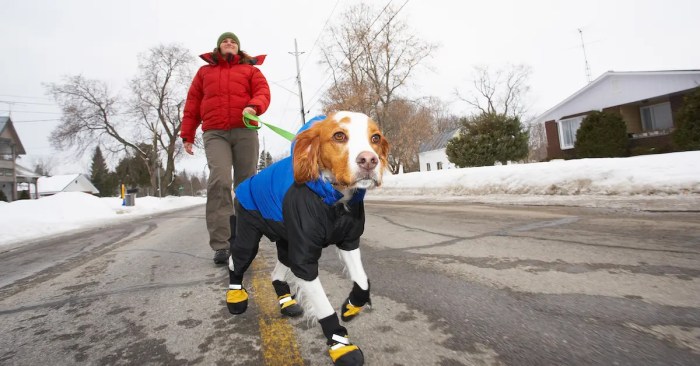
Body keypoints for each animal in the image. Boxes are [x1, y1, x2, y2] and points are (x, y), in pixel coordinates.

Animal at [227, 112, 388, 366]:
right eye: (339, 136)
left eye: (375, 138)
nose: (369, 160)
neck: (334, 200)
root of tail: (244, 184)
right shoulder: (304, 261)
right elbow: (324, 308)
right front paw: (342, 346)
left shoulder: (349, 241)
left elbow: (362, 281)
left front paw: (351, 306)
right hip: (248, 236)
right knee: (235, 261)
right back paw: (235, 298)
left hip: (286, 243)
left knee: (276, 274)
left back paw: (287, 303)